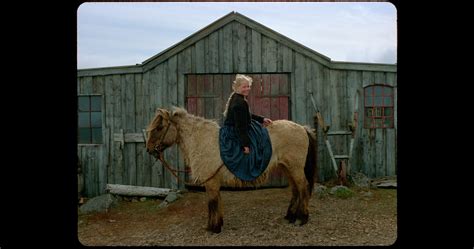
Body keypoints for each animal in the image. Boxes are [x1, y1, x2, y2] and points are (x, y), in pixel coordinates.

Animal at [146, 107, 316, 233]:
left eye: (159, 127)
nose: (149, 149)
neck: (202, 140)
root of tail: (302, 128)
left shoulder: (211, 182)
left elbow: (212, 202)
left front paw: (213, 228)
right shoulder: (214, 181)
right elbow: (218, 201)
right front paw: (218, 224)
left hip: (295, 168)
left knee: (303, 188)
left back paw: (302, 218)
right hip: (287, 168)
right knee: (295, 190)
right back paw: (291, 216)